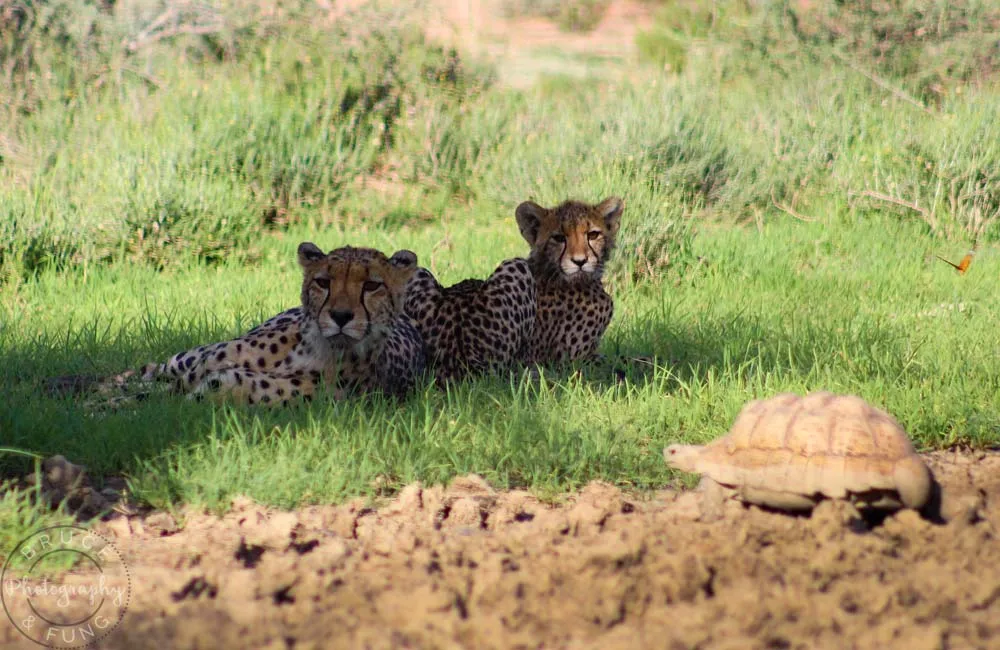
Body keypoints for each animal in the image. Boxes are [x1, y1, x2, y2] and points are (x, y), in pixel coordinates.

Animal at [77, 243, 427, 407]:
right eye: (323, 282)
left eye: (372, 286)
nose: (341, 316)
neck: (315, 351)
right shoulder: (198, 372)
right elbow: (132, 394)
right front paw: (88, 404)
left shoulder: (212, 390)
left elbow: (149, 402)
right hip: (187, 359)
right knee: (144, 372)